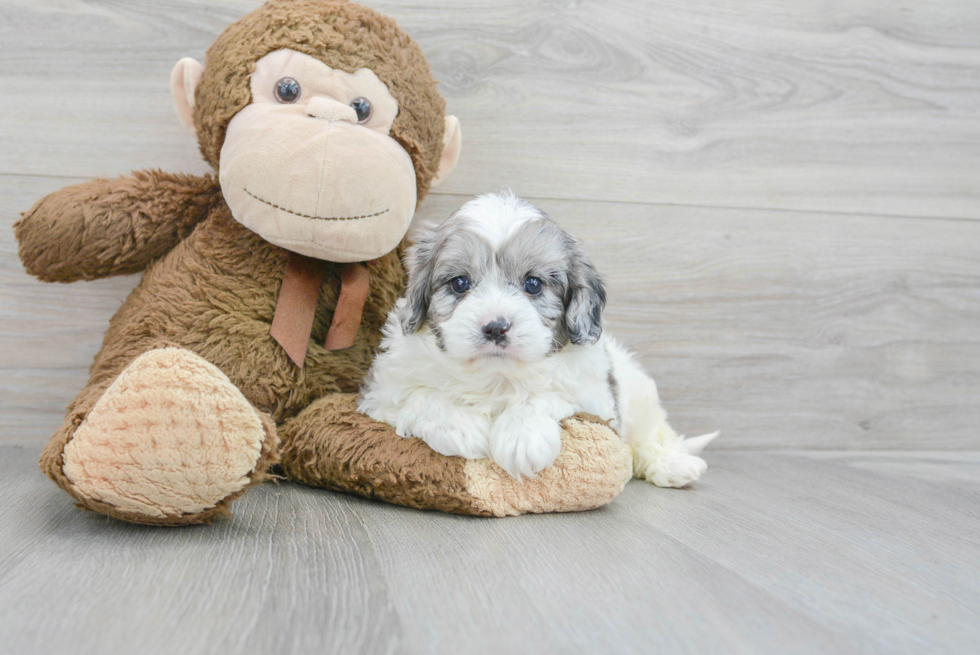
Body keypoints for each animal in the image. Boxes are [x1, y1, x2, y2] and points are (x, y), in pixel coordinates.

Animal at [356, 192, 716, 484]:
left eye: (533, 284)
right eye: (460, 283)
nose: (495, 327)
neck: (496, 377)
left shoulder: (596, 400)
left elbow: (546, 395)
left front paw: (522, 436)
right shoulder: (380, 395)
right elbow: (419, 396)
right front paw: (458, 426)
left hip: (639, 393)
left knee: (649, 439)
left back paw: (674, 466)